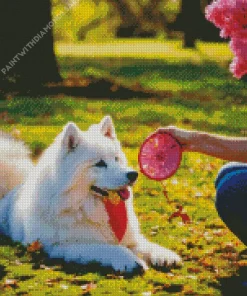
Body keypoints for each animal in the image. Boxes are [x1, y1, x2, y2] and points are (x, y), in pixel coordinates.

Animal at [0, 116, 181, 272]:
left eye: (116, 159)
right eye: (100, 164)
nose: (133, 174)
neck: (87, 207)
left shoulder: (130, 238)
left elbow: (146, 245)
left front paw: (164, 255)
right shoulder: (63, 246)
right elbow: (110, 248)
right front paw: (130, 260)